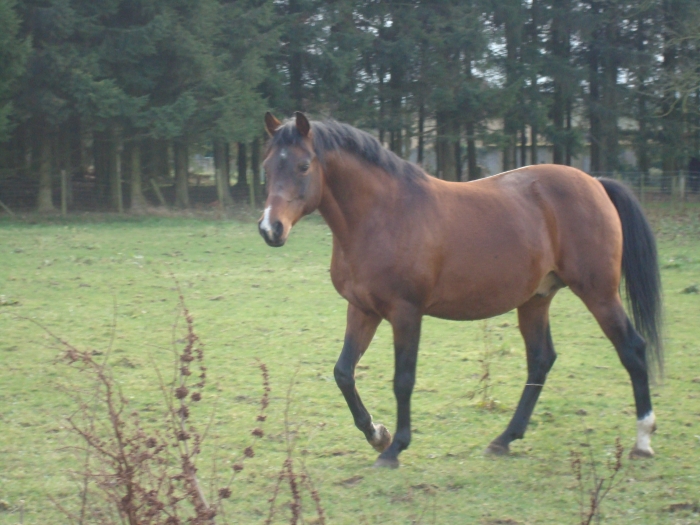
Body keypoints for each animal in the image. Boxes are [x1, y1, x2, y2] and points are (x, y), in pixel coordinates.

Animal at [258, 111, 663, 468]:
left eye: (303, 166)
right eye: (267, 166)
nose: (270, 229)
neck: (382, 215)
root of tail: (595, 183)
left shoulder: (406, 313)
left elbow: (403, 380)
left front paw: (395, 448)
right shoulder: (363, 309)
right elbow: (343, 372)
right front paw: (378, 434)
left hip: (599, 293)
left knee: (632, 349)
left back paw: (643, 441)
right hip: (536, 299)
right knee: (540, 360)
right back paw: (504, 439)